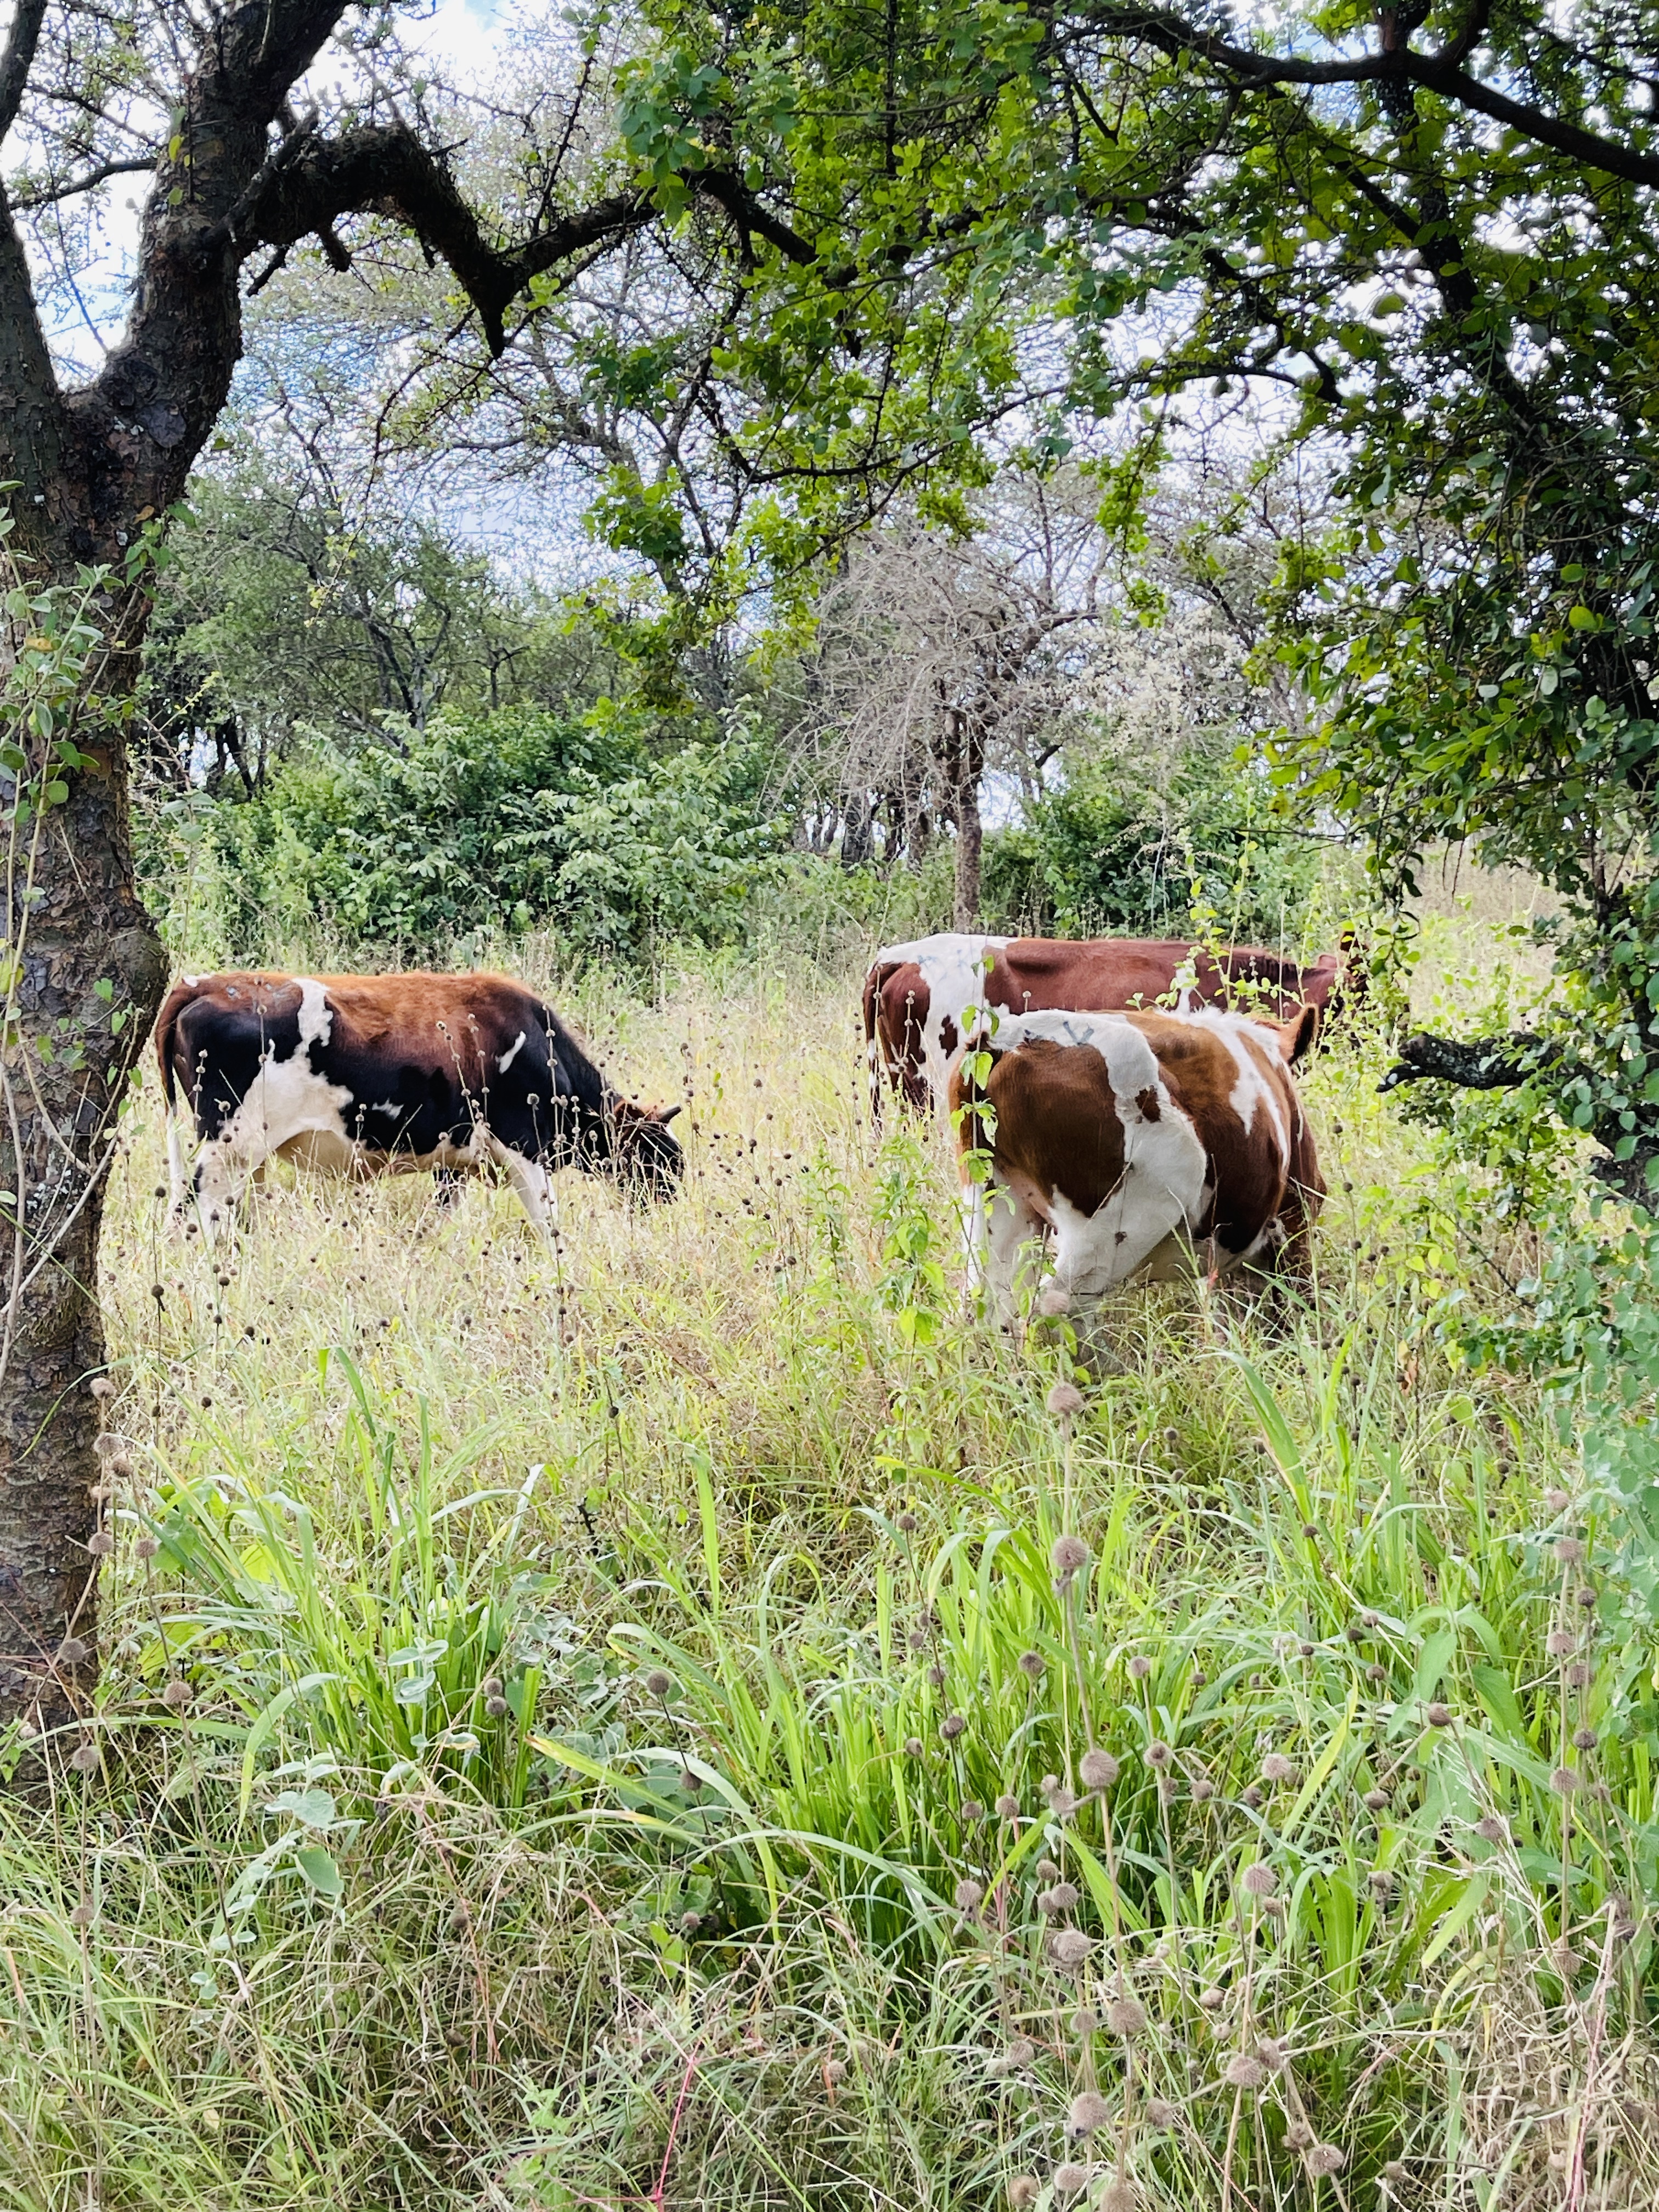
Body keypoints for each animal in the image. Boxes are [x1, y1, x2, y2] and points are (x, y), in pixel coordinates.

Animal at [156, 970, 683, 1242]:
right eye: (659, 1160)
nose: (671, 1206)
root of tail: (202, 984)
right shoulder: (524, 1147)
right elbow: (547, 1221)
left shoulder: (454, 1161)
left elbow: (439, 1218)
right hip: (228, 1146)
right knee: (196, 1212)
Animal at [948, 1003, 1324, 1329]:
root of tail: (1005, 1041)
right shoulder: (1293, 1228)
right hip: (1111, 1228)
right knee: (1054, 1308)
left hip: (997, 1206)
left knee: (987, 1311)